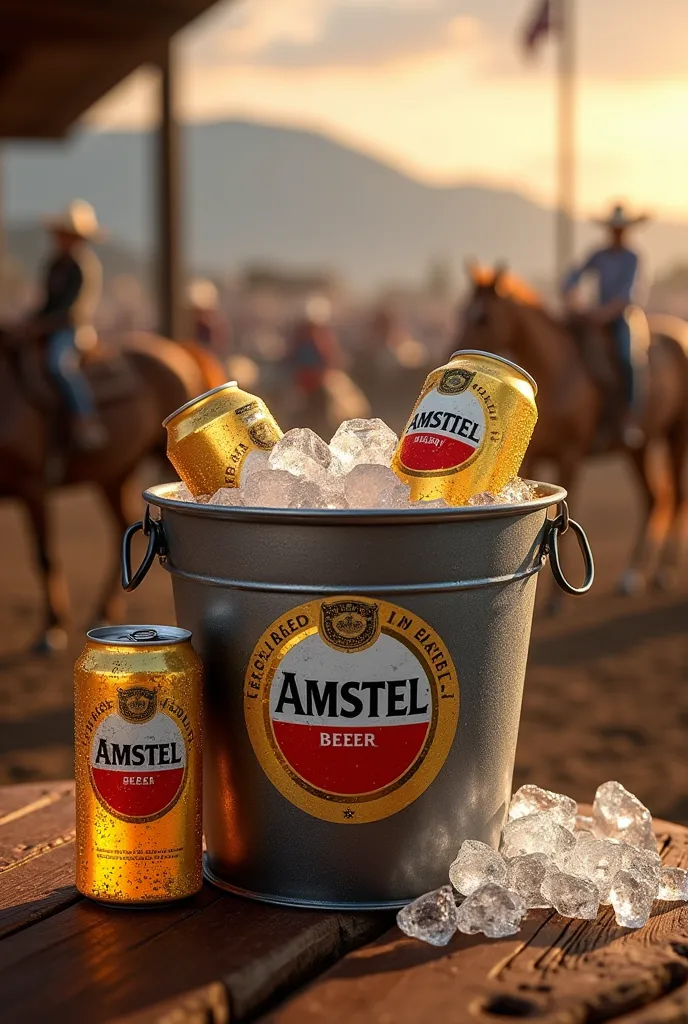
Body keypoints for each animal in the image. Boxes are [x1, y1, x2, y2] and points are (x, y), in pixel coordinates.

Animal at [0, 333, 227, 655]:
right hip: (113, 475)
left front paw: (51, 629)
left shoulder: (33, 485)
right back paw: (104, 611)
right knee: (121, 527)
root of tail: (175, 348)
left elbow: (44, 557)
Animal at [456, 268, 688, 598]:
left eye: (484, 318)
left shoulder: (570, 456)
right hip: (638, 448)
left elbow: (567, 513)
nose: (450, 350)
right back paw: (631, 575)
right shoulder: (534, 456)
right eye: (464, 311)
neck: (558, 370)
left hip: (677, 434)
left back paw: (664, 571)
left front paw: (555, 600)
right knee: (654, 498)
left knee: (677, 495)